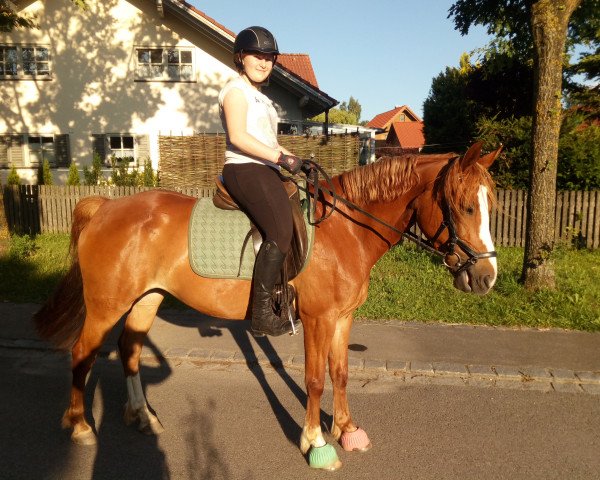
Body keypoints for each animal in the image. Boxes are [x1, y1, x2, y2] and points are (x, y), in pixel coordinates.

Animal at [34, 141, 502, 470]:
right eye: (464, 206)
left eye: (490, 206)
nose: (486, 278)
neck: (345, 228)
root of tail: (105, 206)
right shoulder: (317, 319)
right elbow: (314, 379)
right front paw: (316, 443)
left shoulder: (343, 318)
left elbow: (340, 373)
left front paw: (347, 430)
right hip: (105, 306)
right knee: (82, 353)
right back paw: (80, 426)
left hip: (147, 299)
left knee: (129, 350)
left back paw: (142, 417)